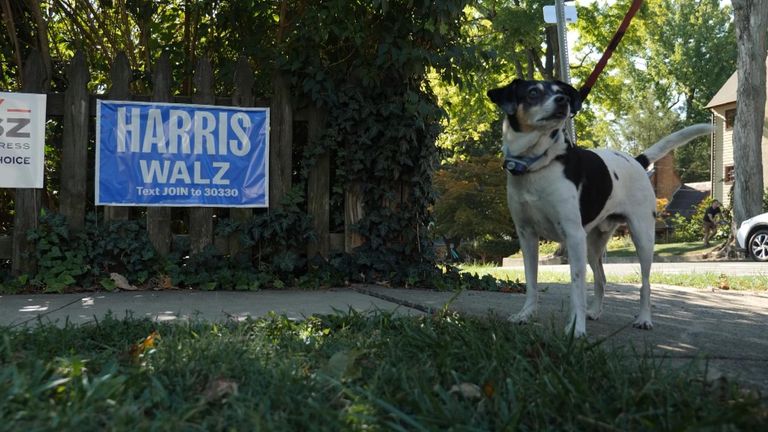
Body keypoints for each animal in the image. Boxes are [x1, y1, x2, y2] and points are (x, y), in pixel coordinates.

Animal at [486, 81, 712, 338]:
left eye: (559, 91)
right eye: (533, 92)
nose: (563, 100)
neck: (537, 165)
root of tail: (638, 161)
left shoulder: (573, 236)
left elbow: (577, 288)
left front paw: (576, 328)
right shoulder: (527, 236)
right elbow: (531, 281)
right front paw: (526, 315)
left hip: (642, 237)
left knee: (645, 283)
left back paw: (644, 319)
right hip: (593, 246)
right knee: (601, 278)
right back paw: (594, 311)